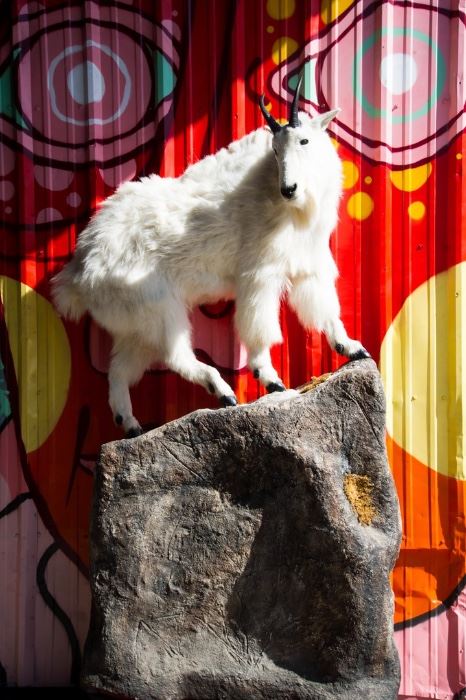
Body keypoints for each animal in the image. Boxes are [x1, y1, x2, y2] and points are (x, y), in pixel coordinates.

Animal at [51, 76, 369, 437]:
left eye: (304, 140)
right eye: (275, 149)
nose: (290, 188)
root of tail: (80, 269)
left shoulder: (308, 268)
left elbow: (327, 313)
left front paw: (352, 348)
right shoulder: (259, 276)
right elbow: (260, 327)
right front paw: (271, 380)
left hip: (135, 324)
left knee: (119, 370)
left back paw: (130, 424)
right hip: (159, 307)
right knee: (174, 356)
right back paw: (223, 391)